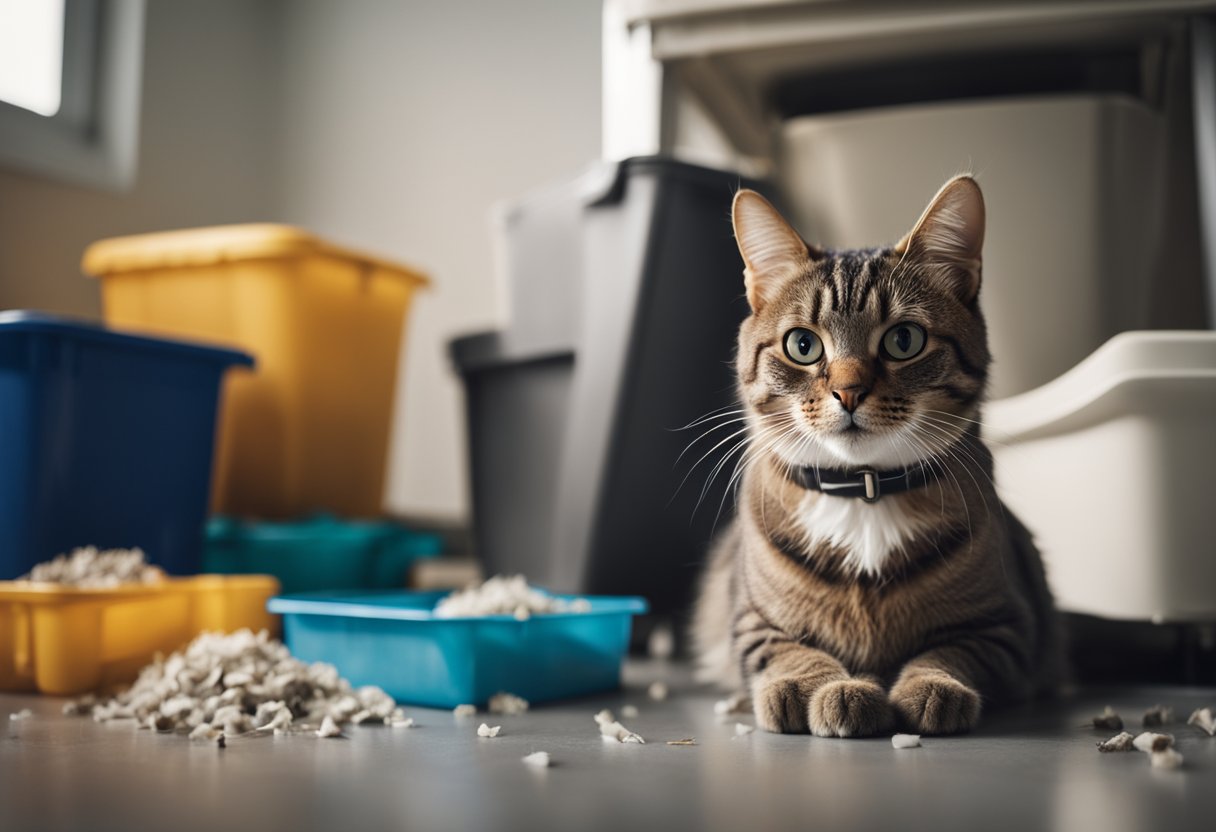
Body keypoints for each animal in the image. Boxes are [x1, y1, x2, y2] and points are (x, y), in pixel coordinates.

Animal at [695, 175, 1065, 734]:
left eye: (904, 340)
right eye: (802, 345)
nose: (848, 392)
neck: (862, 492)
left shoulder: (1008, 627)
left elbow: (951, 651)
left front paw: (931, 686)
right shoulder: (750, 622)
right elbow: (791, 650)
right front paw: (824, 687)